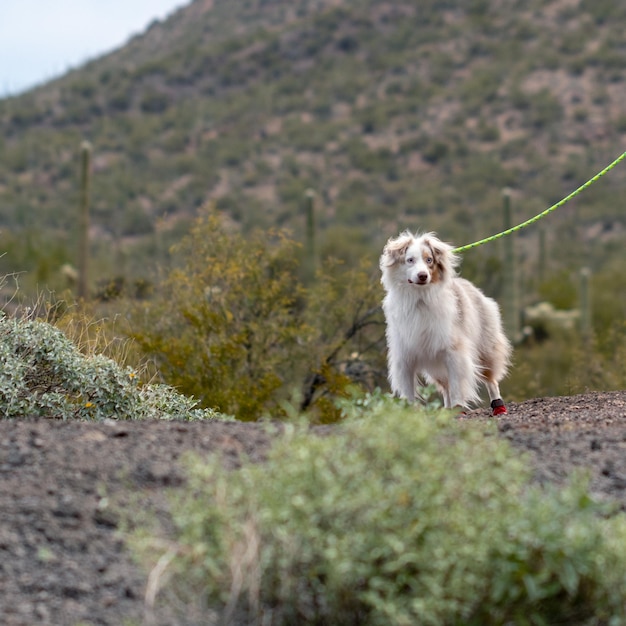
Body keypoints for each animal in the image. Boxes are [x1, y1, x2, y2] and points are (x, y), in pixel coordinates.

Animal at [378, 229, 510, 414]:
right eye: (410, 260)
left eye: (429, 260)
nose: (423, 276)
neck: (419, 298)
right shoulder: (405, 352)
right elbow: (408, 385)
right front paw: (409, 410)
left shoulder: (453, 350)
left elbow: (457, 382)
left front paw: (458, 406)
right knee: (445, 386)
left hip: (485, 348)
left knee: (490, 379)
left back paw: (498, 406)